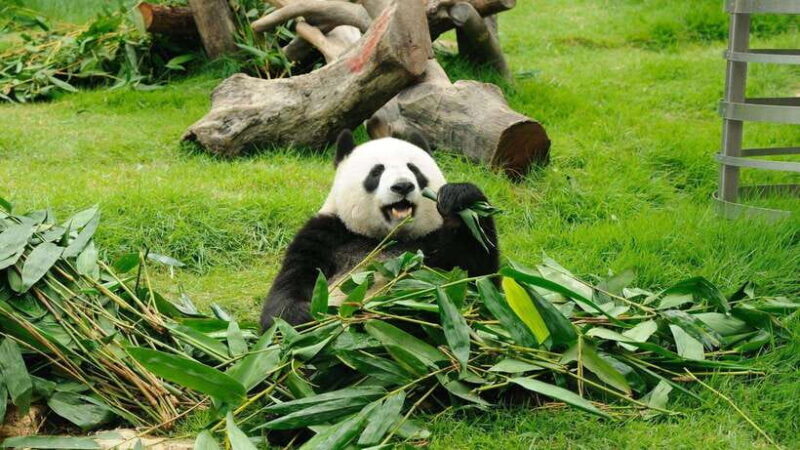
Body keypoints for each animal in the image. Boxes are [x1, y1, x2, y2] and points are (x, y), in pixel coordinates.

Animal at [260, 129, 499, 329]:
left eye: (414, 169)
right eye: (376, 172)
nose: (403, 186)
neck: (388, 237)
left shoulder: (434, 244)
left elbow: (478, 281)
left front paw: (460, 198)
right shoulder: (326, 235)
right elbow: (284, 299)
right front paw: (313, 316)